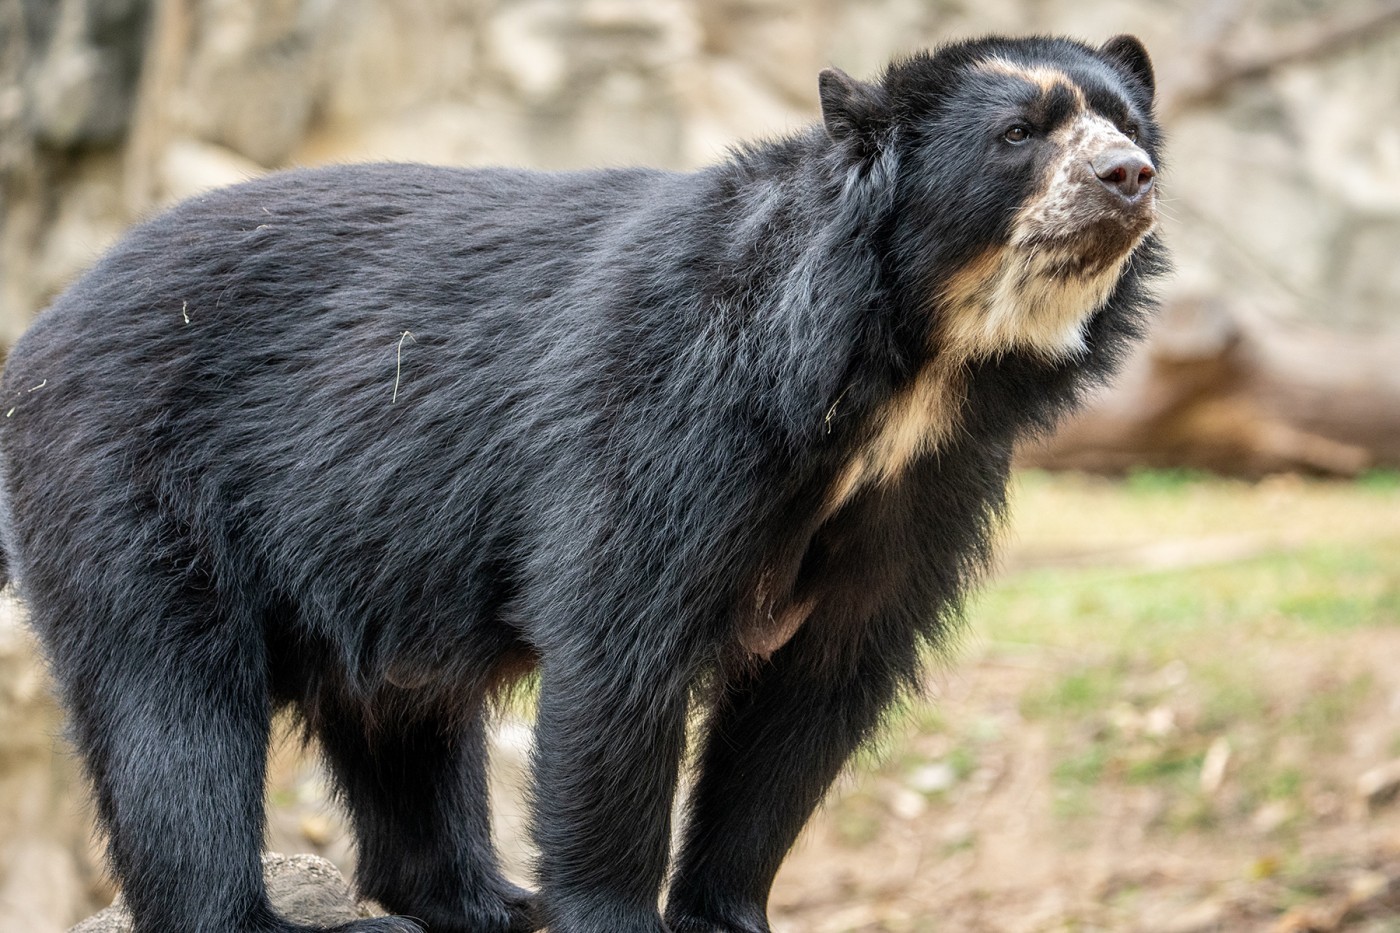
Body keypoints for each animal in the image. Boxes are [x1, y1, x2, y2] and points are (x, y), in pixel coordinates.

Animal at [0, 32, 1159, 930]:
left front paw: (726, 910)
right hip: (130, 483)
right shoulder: (668, 417)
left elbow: (813, 695)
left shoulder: (923, 490)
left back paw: (476, 899)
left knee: (399, 717)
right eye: (1020, 135)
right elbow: (618, 652)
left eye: (1128, 124)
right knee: (171, 712)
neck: (904, 373)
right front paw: (613, 911)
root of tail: (39, 333)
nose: (1128, 176)